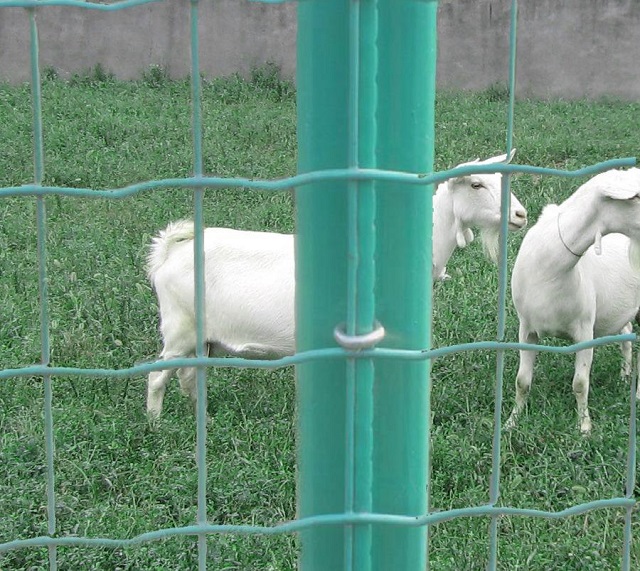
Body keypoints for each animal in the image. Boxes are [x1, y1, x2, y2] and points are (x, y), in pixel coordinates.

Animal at [148, 154, 528, 418]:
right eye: (476, 184)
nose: (521, 215)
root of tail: (168, 252)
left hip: (201, 340)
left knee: (187, 378)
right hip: (179, 328)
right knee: (156, 377)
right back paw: (157, 426)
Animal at [508, 168, 640, 436]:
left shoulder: (584, 329)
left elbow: (580, 383)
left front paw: (584, 427)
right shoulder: (526, 328)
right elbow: (522, 381)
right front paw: (512, 422)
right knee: (626, 331)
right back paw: (624, 375)